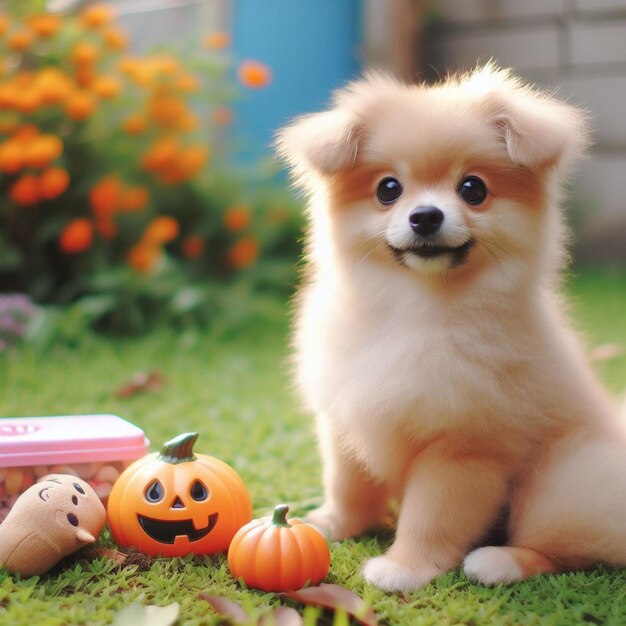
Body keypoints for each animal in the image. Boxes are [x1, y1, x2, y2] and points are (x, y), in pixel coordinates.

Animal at [276, 66, 624, 588]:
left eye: (473, 189)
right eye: (388, 189)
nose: (425, 216)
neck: (416, 308)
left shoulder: (464, 447)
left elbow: (433, 514)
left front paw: (403, 567)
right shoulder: (344, 414)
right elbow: (348, 484)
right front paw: (329, 523)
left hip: (562, 483)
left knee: (562, 542)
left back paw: (499, 560)